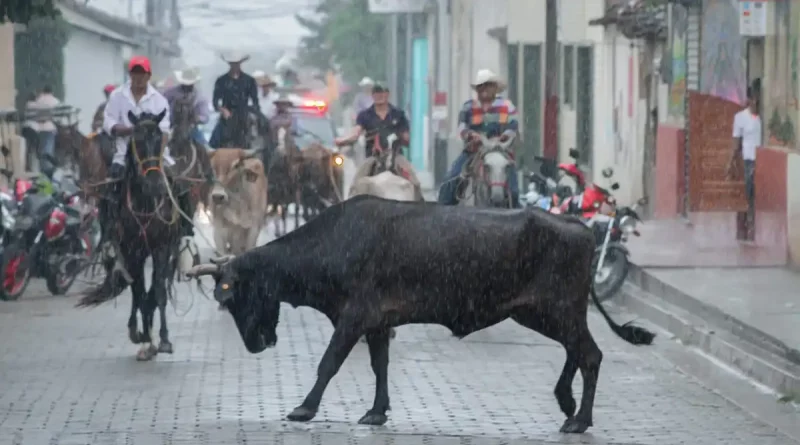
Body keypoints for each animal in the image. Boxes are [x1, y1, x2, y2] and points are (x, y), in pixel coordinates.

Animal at [189, 194, 656, 430]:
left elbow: (329, 363)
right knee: (577, 352)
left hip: (556, 309)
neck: (331, 244)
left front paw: (305, 408)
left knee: (590, 355)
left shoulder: (354, 316)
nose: (256, 344)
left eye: (234, 294)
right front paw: (377, 411)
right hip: (545, 313)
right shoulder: (377, 322)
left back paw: (579, 420)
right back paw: (567, 402)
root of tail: (580, 228)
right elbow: (379, 366)